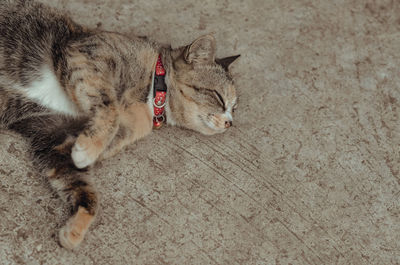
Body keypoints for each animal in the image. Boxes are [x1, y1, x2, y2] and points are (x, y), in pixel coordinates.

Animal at [0, 0, 239, 248]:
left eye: (235, 108)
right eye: (220, 99)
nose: (230, 122)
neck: (152, 95)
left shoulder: (53, 136)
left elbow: (82, 187)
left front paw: (75, 228)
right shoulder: (87, 54)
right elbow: (110, 110)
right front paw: (87, 149)